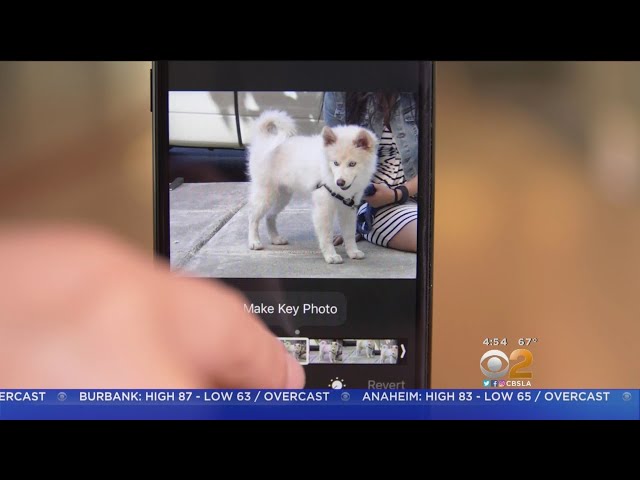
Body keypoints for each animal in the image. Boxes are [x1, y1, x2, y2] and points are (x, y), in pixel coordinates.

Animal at [246, 110, 378, 264]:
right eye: (335, 163)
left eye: (352, 164)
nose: (340, 182)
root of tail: (265, 139)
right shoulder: (323, 208)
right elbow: (327, 236)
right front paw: (331, 255)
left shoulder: (348, 208)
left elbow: (349, 234)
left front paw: (353, 252)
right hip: (266, 194)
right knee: (253, 217)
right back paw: (254, 241)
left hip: (283, 196)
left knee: (270, 216)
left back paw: (276, 238)